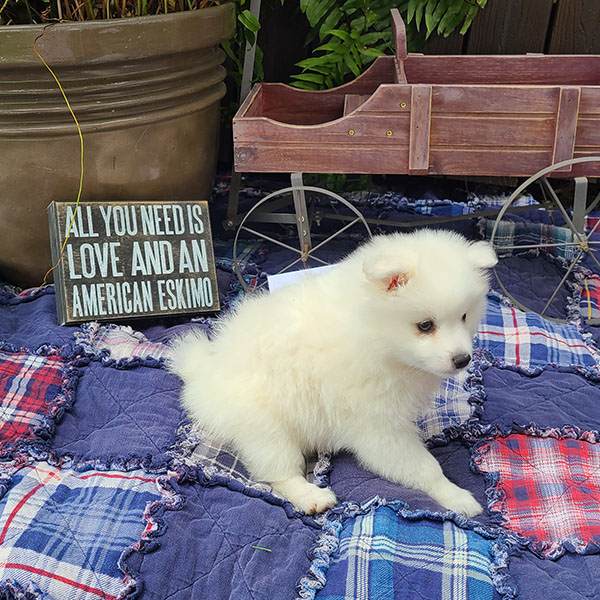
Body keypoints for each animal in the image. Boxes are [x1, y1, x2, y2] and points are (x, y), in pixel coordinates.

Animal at [169, 230, 496, 516]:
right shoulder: (378, 425)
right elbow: (424, 466)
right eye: (425, 325)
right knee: (278, 470)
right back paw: (311, 496)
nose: (463, 359)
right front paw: (457, 496)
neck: (372, 334)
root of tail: (206, 372)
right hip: (266, 426)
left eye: (464, 316)